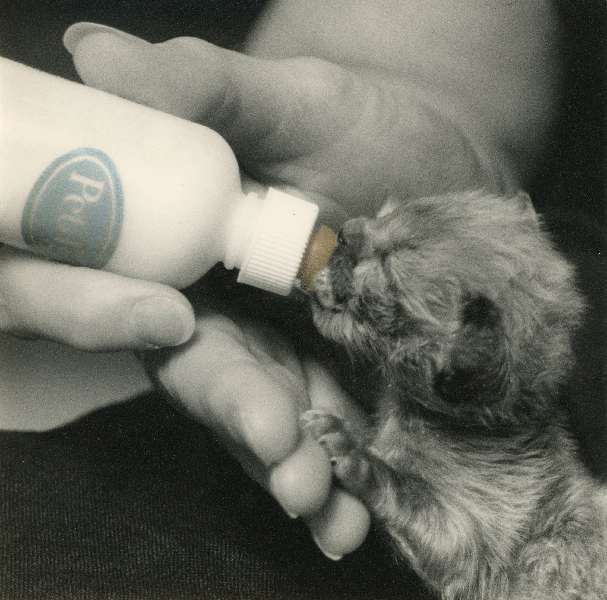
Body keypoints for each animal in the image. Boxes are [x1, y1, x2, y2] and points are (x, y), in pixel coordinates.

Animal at [302, 191, 607, 600]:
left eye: (392, 261)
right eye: (387, 214)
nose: (345, 232)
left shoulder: (472, 542)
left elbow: (404, 489)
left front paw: (351, 449)